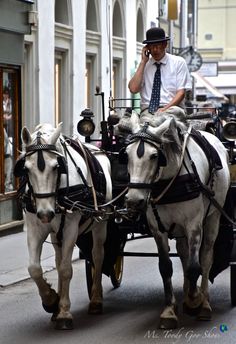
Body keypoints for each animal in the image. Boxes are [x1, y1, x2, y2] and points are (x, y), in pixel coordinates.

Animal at [13, 123, 111, 330]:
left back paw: (96, 300)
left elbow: (66, 269)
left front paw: (64, 313)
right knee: (58, 261)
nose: (45, 214)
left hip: (101, 222)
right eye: (26, 168)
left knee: (98, 256)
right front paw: (51, 301)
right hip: (56, 233)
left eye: (56, 166)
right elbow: (34, 268)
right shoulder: (35, 228)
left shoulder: (70, 228)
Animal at [115, 109, 231, 330]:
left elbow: (195, 267)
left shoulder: (194, 225)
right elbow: (166, 267)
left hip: (213, 217)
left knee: (206, 258)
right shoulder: (157, 228)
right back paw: (187, 292)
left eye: (154, 156)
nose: (134, 200)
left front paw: (194, 301)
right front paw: (169, 310)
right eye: (126, 155)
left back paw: (204, 302)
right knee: (184, 254)